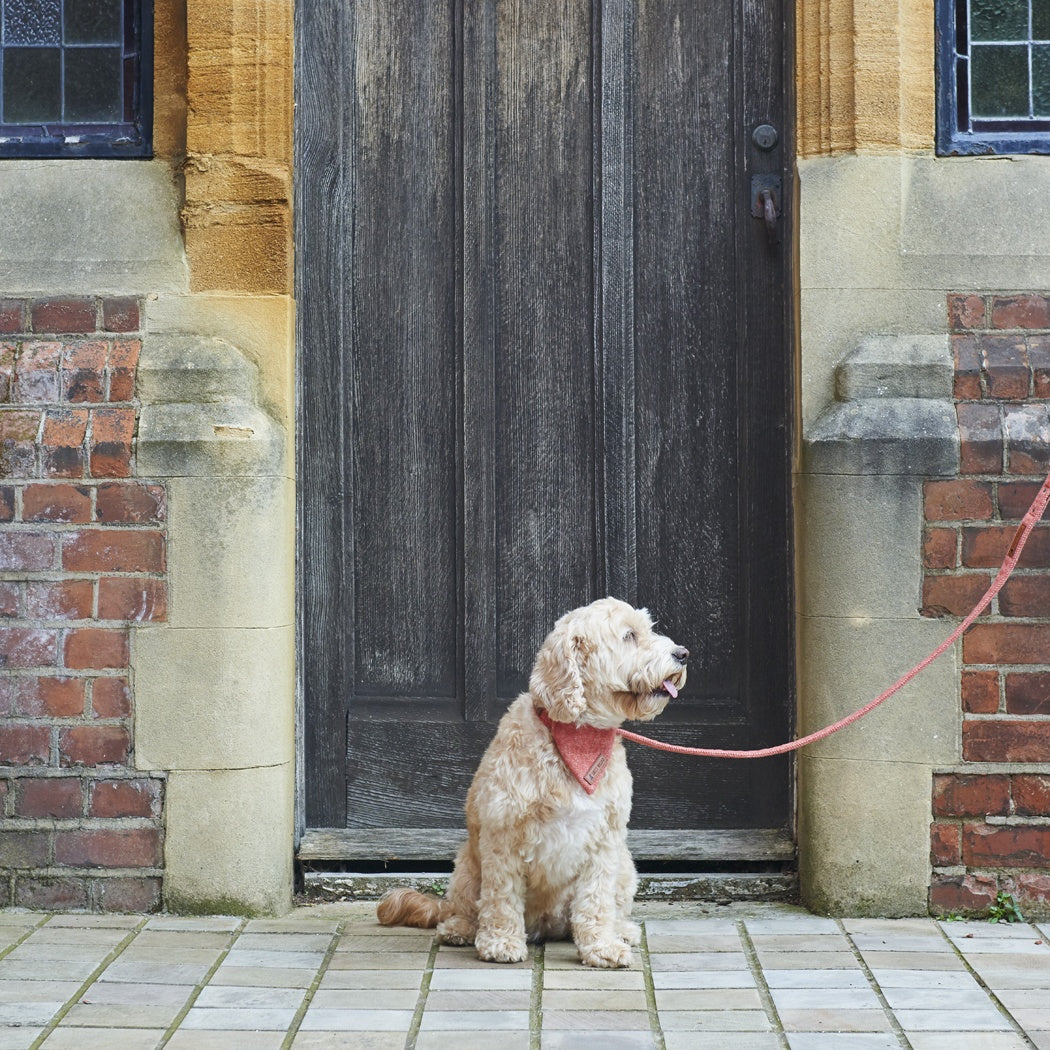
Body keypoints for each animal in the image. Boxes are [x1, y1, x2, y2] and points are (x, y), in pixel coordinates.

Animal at [377, 600, 688, 965]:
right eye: (629, 635)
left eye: (647, 628)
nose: (683, 654)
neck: (577, 735)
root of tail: (546, 926)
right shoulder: (503, 835)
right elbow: (501, 896)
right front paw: (500, 942)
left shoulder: (604, 843)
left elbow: (596, 901)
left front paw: (601, 946)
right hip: (466, 868)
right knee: (466, 908)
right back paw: (461, 928)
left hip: (625, 867)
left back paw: (620, 930)